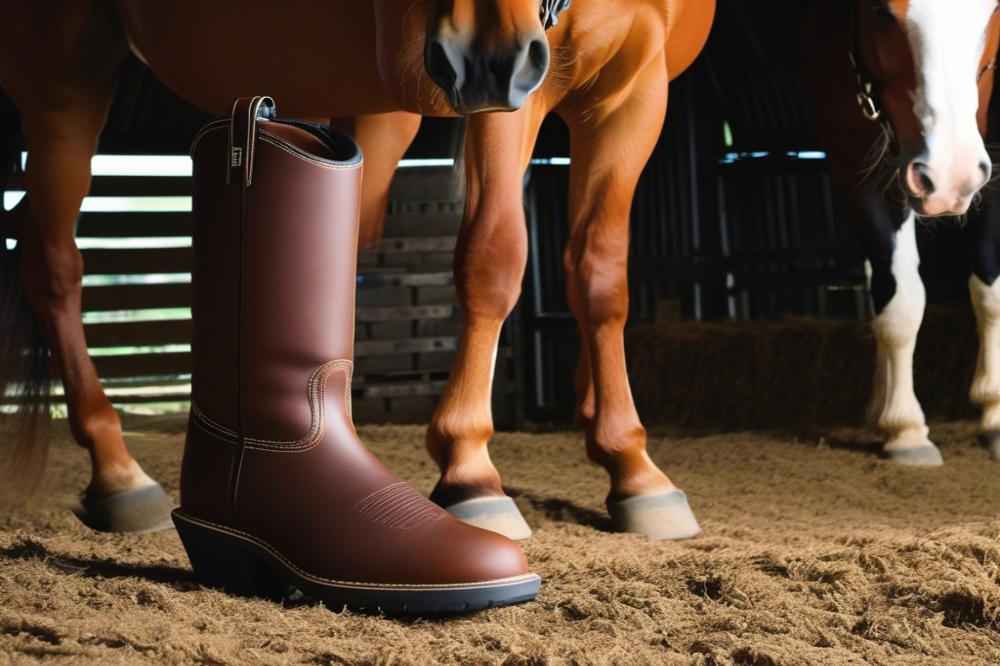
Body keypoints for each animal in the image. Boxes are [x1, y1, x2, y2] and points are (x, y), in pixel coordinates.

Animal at [0, 0, 720, 540]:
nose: (482, 57)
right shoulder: (517, 92)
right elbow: (495, 259)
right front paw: (470, 470)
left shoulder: (635, 82)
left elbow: (601, 276)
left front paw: (631, 464)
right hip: (62, 74)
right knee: (51, 263)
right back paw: (118, 472)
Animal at [800, 0, 1000, 464]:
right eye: (878, 11)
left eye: (991, 8)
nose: (950, 176)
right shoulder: (855, 153)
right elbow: (901, 301)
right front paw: (905, 429)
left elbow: (990, 291)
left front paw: (995, 413)